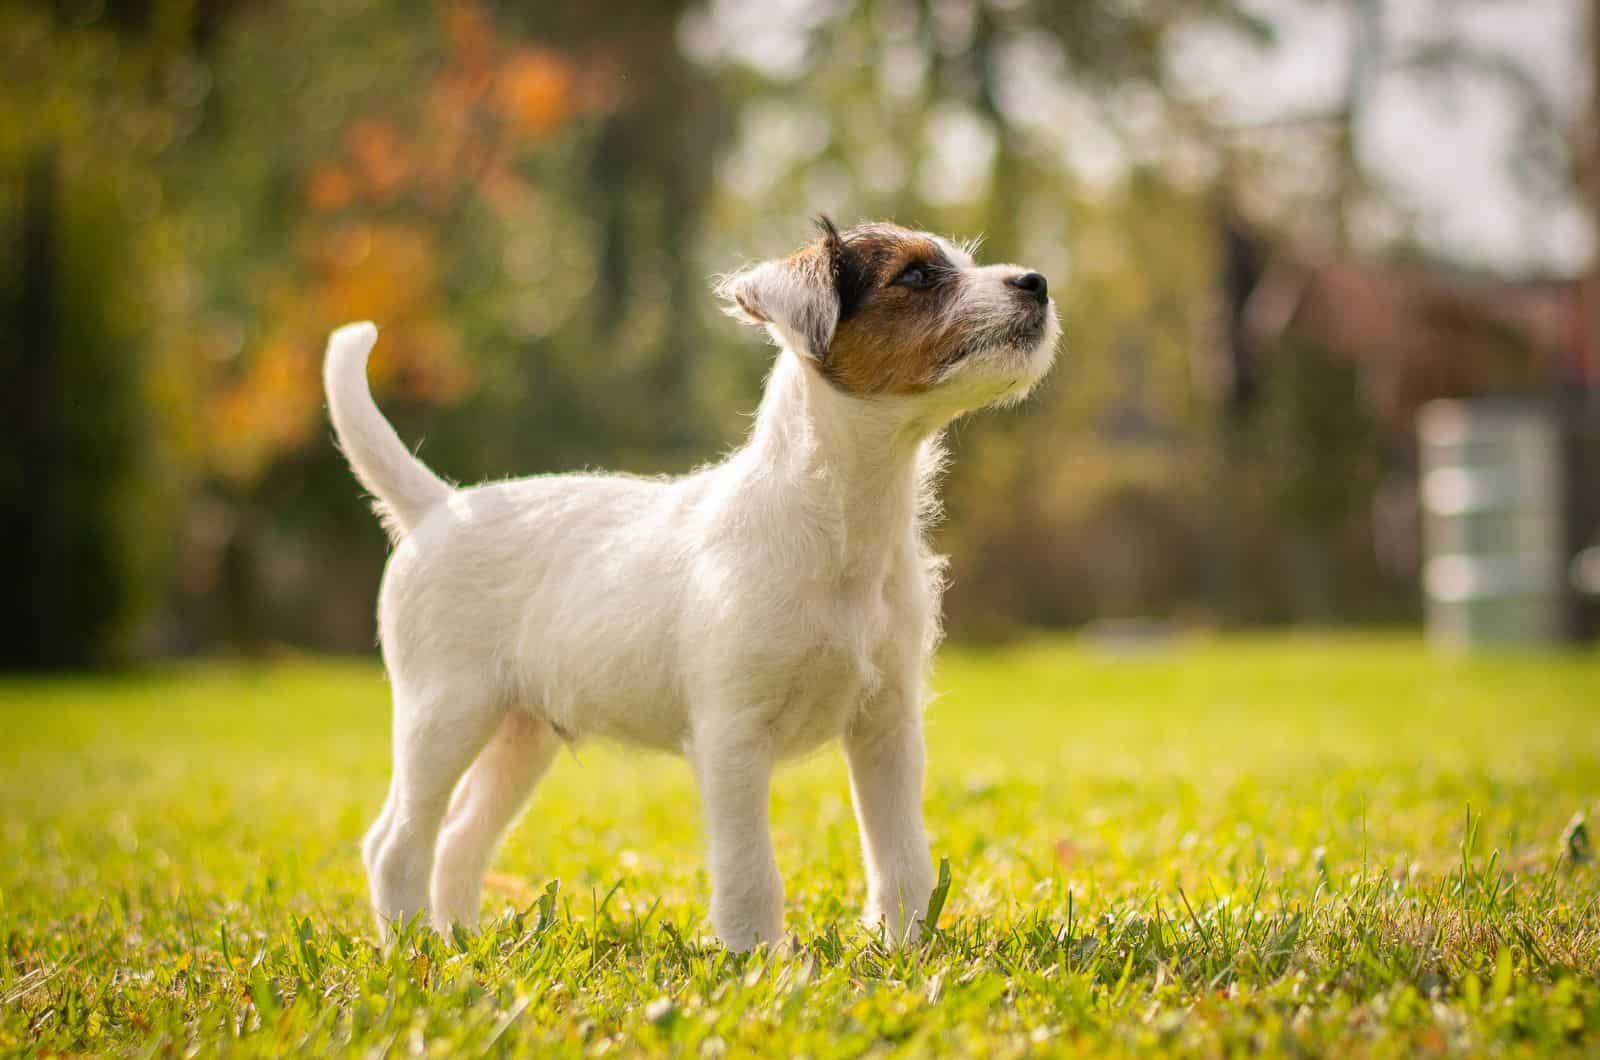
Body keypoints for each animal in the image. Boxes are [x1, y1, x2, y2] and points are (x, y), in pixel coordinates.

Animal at [324, 217, 1056, 954]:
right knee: (394, 843)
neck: (840, 521)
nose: (1038, 281)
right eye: (916, 276)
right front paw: (758, 959)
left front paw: (904, 948)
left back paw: (460, 943)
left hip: (519, 735)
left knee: (457, 839)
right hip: (444, 714)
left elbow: (901, 857)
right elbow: (750, 869)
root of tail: (438, 506)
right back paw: (413, 948)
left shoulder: (888, 728)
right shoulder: (732, 736)